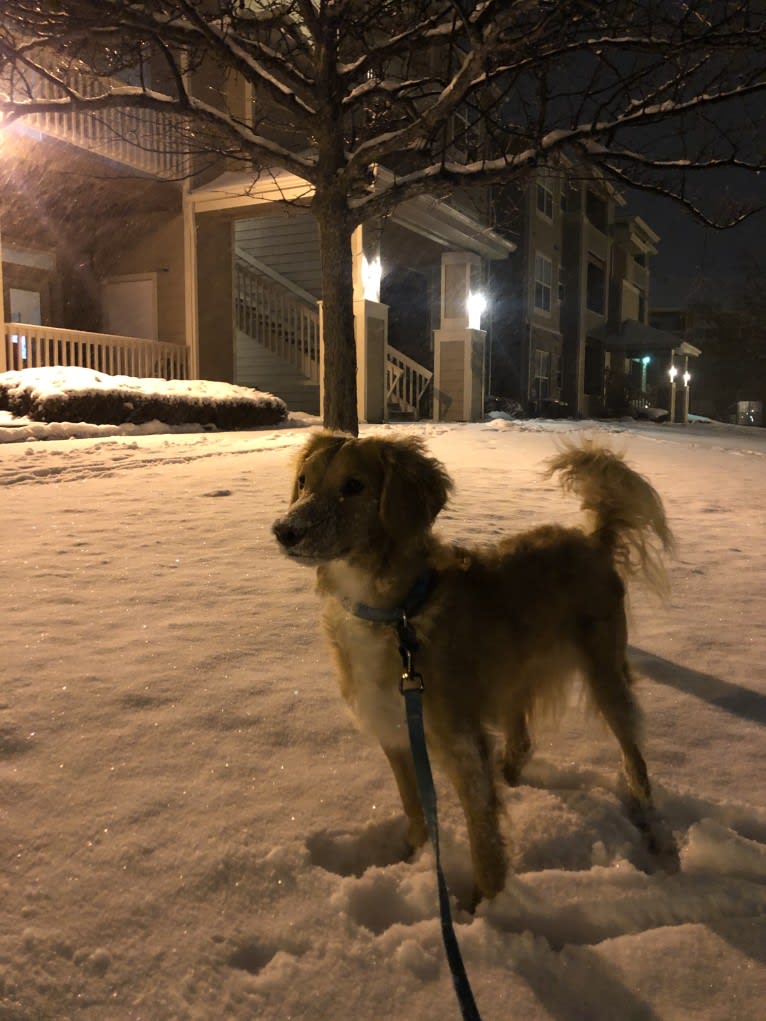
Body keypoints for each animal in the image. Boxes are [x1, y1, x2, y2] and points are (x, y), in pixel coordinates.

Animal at [273, 430, 682, 902]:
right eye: (303, 481)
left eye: (354, 485)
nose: (284, 530)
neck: (396, 615)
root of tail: (593, 539)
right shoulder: (395, 732)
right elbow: (414, 806)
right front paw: (416, 855)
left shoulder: (461, 742)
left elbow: (482, 834)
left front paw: (487, 905)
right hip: (513, 679)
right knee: (521, 742)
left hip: (606, 676)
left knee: (634, 760)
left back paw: (654, 832)